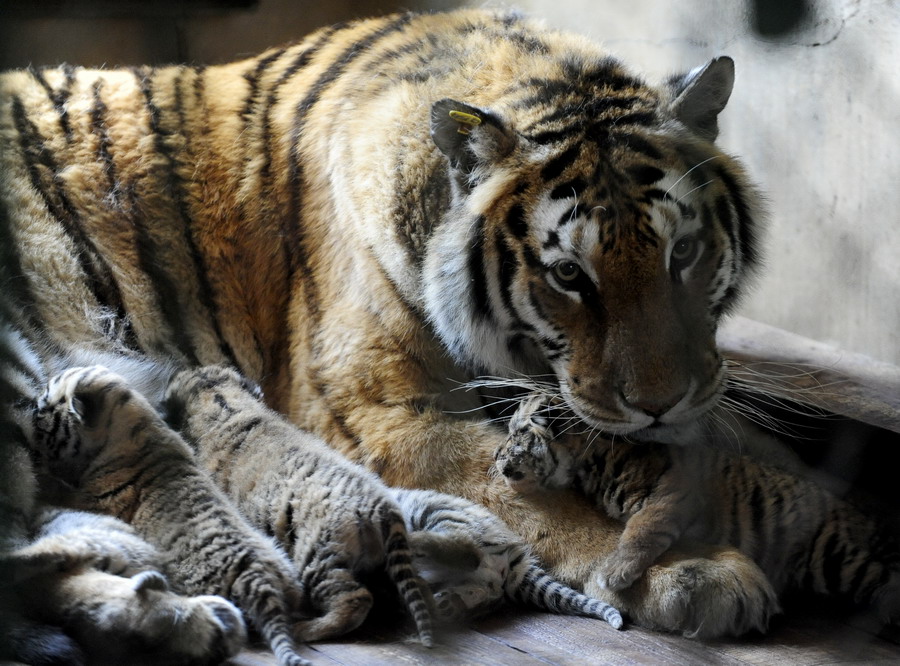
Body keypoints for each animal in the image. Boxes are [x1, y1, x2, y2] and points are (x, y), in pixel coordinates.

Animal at [0, 6, 772, 652]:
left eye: (683, 252)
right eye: (568, 275)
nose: (660, 405)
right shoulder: (381, 418)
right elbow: (536, 503)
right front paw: (697, 574)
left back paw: (170, 615)